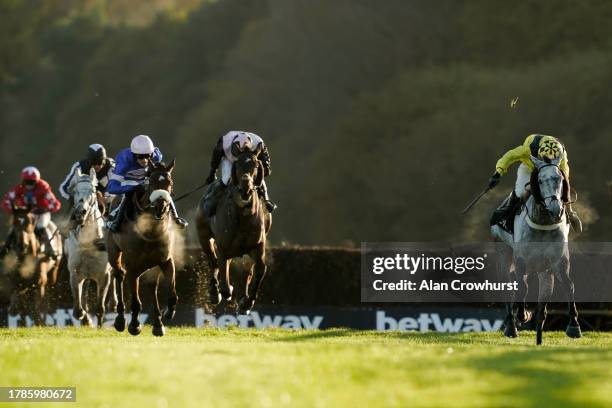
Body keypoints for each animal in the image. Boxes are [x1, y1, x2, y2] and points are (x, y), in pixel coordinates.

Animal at [107, 161, 179, 336]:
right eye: (151, 183)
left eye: (170, 183)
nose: (161, 206)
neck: (150, 233)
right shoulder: (132, 265)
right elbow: (135, 301)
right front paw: (134, 325)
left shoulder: (166, 260)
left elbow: (172, 293)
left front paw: (168, 312)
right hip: (114, 252)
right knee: (119, 274)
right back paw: (120, 320)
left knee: (151, 286)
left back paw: (158, 324)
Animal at [196, 147, 272, 316]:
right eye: (236, 165)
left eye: (256, 165)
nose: (245, 189)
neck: (242, 219)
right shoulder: (223, 247)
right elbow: (224, 284)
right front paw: (225, 291)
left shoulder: (257, 246)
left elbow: (259, 270)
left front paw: (246, 303)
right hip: (204, 237)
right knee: (213, 261)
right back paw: (214, 293)